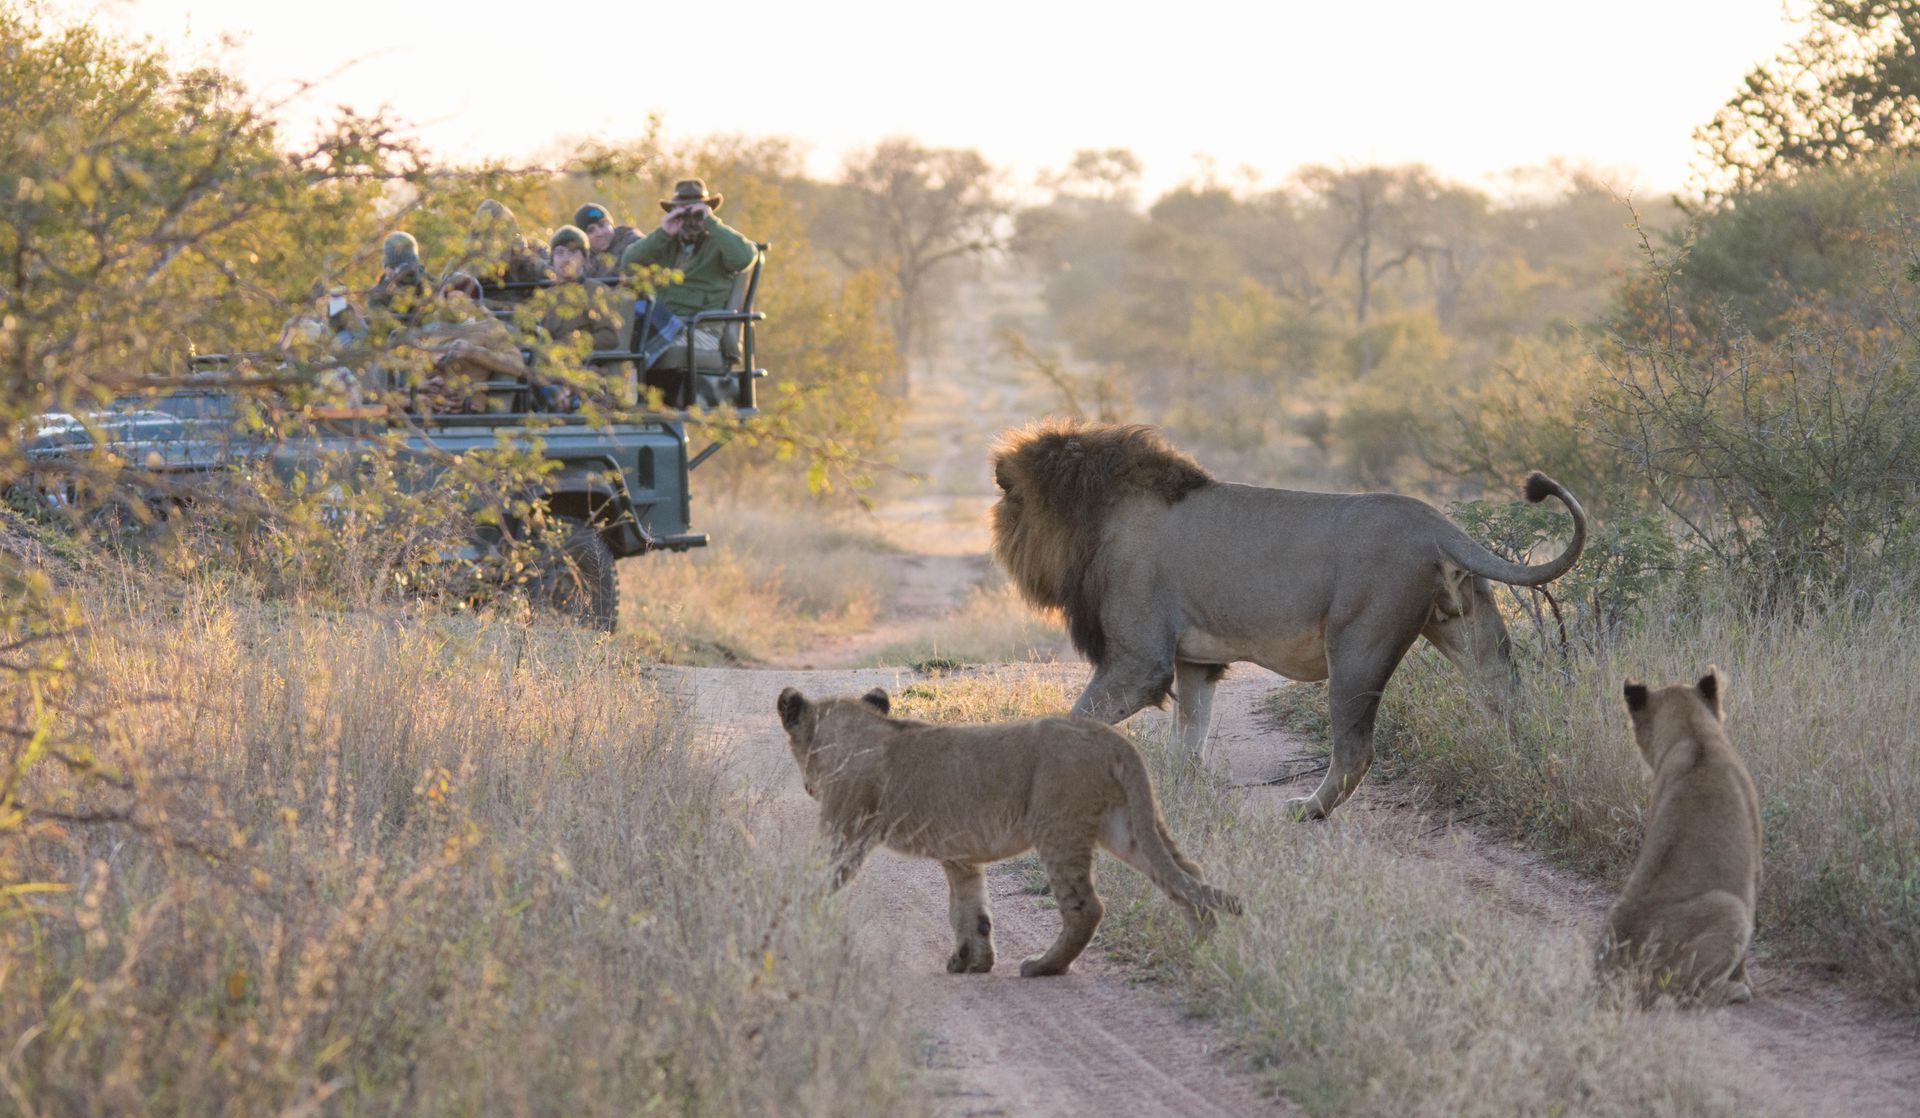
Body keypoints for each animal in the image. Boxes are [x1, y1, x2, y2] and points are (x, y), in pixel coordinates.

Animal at [776, 686, 1242, 977]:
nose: (807, 787)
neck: (854, 730)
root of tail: (1110, 737)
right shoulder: (959, 854)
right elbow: (969, 910)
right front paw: (971, 962)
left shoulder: (846, 830)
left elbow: (817, 876)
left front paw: (787, 917)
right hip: (1126, 825)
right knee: (1187, 874)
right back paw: (1205, 948)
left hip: (1059, 827)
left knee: (1086, 907)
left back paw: (1044, 967)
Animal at [989, 419, 1586, 820]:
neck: (1096, 519)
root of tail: (1439, 526)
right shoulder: (1194, 661)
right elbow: (1190, 735)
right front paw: (1178, 796)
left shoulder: (1140, 661)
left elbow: (1077, 717)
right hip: (1468, 624)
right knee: (1508, 698)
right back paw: (1527, 767)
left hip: (1357, 647)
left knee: (1355, 750)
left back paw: (1309, 810)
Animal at [1599, 669, 1762, 1006]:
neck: (1693, 736)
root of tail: (1621, 971)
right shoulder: (1753, 863)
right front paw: (1745, 979)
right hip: (1729, 908)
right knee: (1686, 992)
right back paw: (1734, 990)